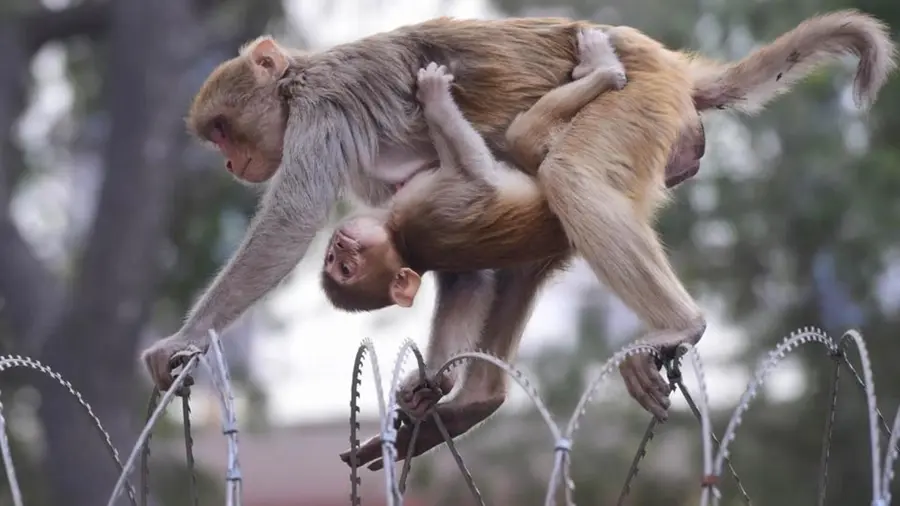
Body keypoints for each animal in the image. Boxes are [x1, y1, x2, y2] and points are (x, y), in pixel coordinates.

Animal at [140, 11, 897, 471]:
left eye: (224, 130)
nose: (230, 164)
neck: (300, 82)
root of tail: (669, 65)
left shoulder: (323, 116)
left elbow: (292, 221)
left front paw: (183, 341)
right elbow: (462, 265)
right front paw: (438, 389)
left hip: (638, 100)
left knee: (569, 174)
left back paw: (678, 323)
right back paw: (477, 399)